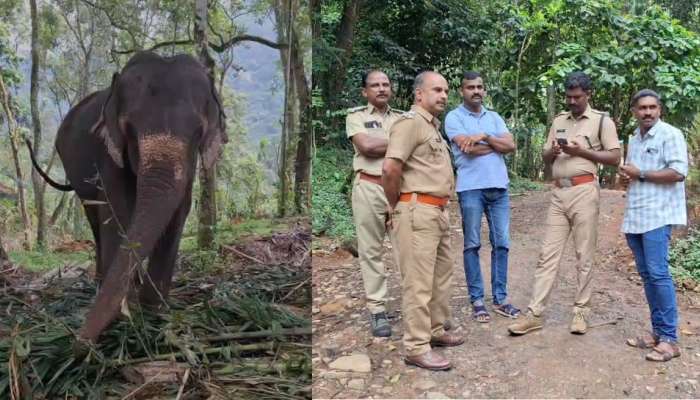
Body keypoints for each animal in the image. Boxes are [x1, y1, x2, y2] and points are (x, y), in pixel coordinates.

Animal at [27, 51, 227, 342]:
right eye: (129, 129)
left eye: (198, 132)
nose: (80, 343)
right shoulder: (107, 151)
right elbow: (118, 209)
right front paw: (127, 310)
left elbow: (178, 211)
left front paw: (153, 311)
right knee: (94, 216)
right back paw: (100, 281)